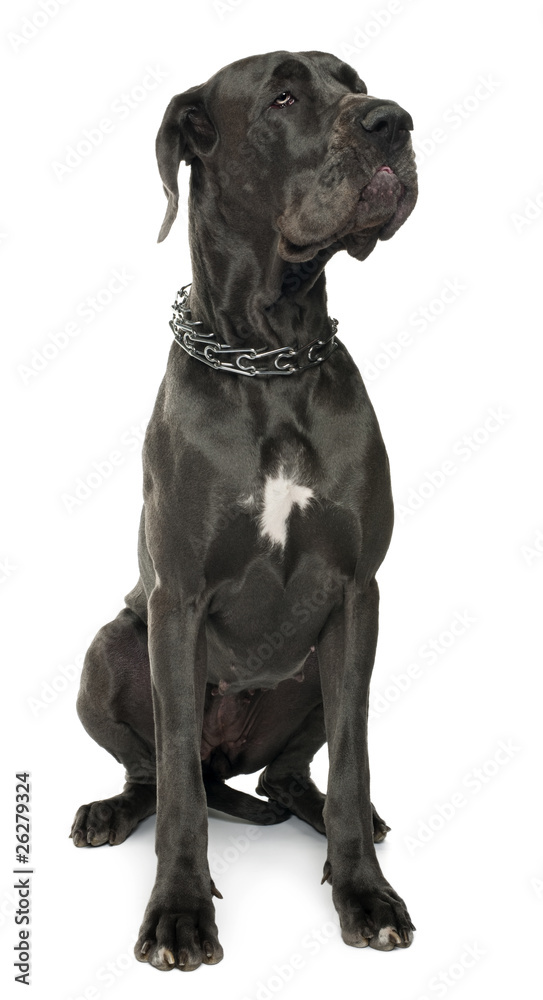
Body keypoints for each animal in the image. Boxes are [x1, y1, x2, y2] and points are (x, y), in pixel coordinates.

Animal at [71, 50, 420, 972]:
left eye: (353, 82)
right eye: (283, 96)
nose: (393, 121)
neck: (270, 358)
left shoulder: (358, 594)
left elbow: (355, 764)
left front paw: (364, 892)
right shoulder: (176, 599)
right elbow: (178, 796)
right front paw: (178, 912)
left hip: (315, 673)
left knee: (292, 778)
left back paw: (338, 825)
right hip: (109, 651)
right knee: (159, 774)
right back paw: (110, 812)